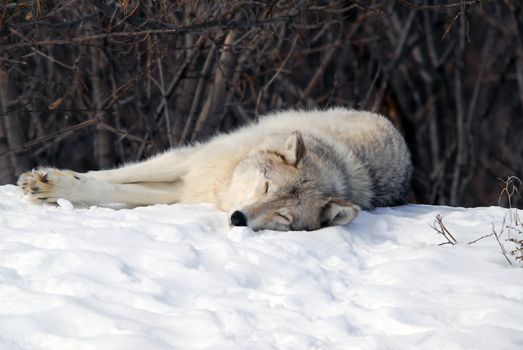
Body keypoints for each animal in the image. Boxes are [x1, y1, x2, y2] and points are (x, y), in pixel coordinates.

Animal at [17, 108, 414, 231]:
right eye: (265, 186)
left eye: (284, 216)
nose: (238, 218)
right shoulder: (191, 161)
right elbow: (111, 178)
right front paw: (45, 181)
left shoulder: (186, 189)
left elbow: (115, 190)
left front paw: (51, 187)